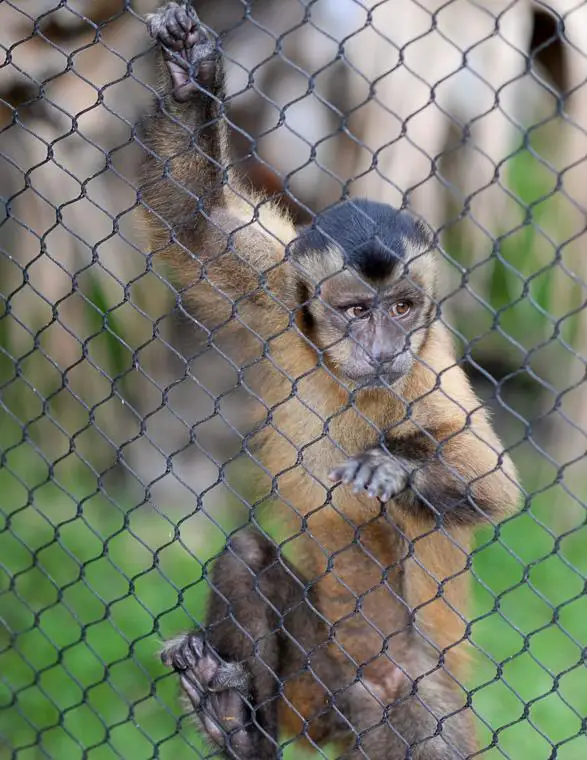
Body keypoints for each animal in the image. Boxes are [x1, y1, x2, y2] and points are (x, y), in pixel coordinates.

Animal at [138, 3, 520, 758]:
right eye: (355, 311)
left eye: (402, 308)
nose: (384, 347)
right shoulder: (276, 293)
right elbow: (195, 225)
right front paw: (190, 80)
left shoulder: (426, 367)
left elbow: (494, 487)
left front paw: (396, 472)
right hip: (309, 691)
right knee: (244, 555)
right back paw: (236, 725)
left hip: (416, 698)